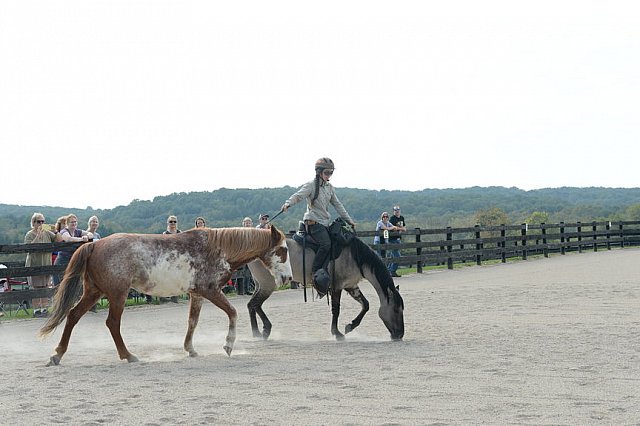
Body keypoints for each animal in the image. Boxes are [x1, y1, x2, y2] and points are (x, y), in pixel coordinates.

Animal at [38, 226, 292, 366]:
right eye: (283, 250)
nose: (289, 277)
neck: (218, 249)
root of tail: (94, 245)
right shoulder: (210, 290)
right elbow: (233, 312)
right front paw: (228, 345)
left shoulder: (197, 294)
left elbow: (192, 322)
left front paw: (190, 349)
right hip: (117, 294)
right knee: (112, 323)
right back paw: (128, 355)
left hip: (94, 292)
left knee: (73, 316)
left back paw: (57, 355)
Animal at [246, 236, 402, 340]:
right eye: (396, 309)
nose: (400, 335)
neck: (355, 256)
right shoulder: (337, 287)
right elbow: (336, 310)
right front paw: (337, 333)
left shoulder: (351, 286)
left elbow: (366, 305)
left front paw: (350, 326)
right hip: (268, 285)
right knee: (254, 304)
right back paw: (263, 331)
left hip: (260, 285)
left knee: (252, 305)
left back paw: (258, 333)